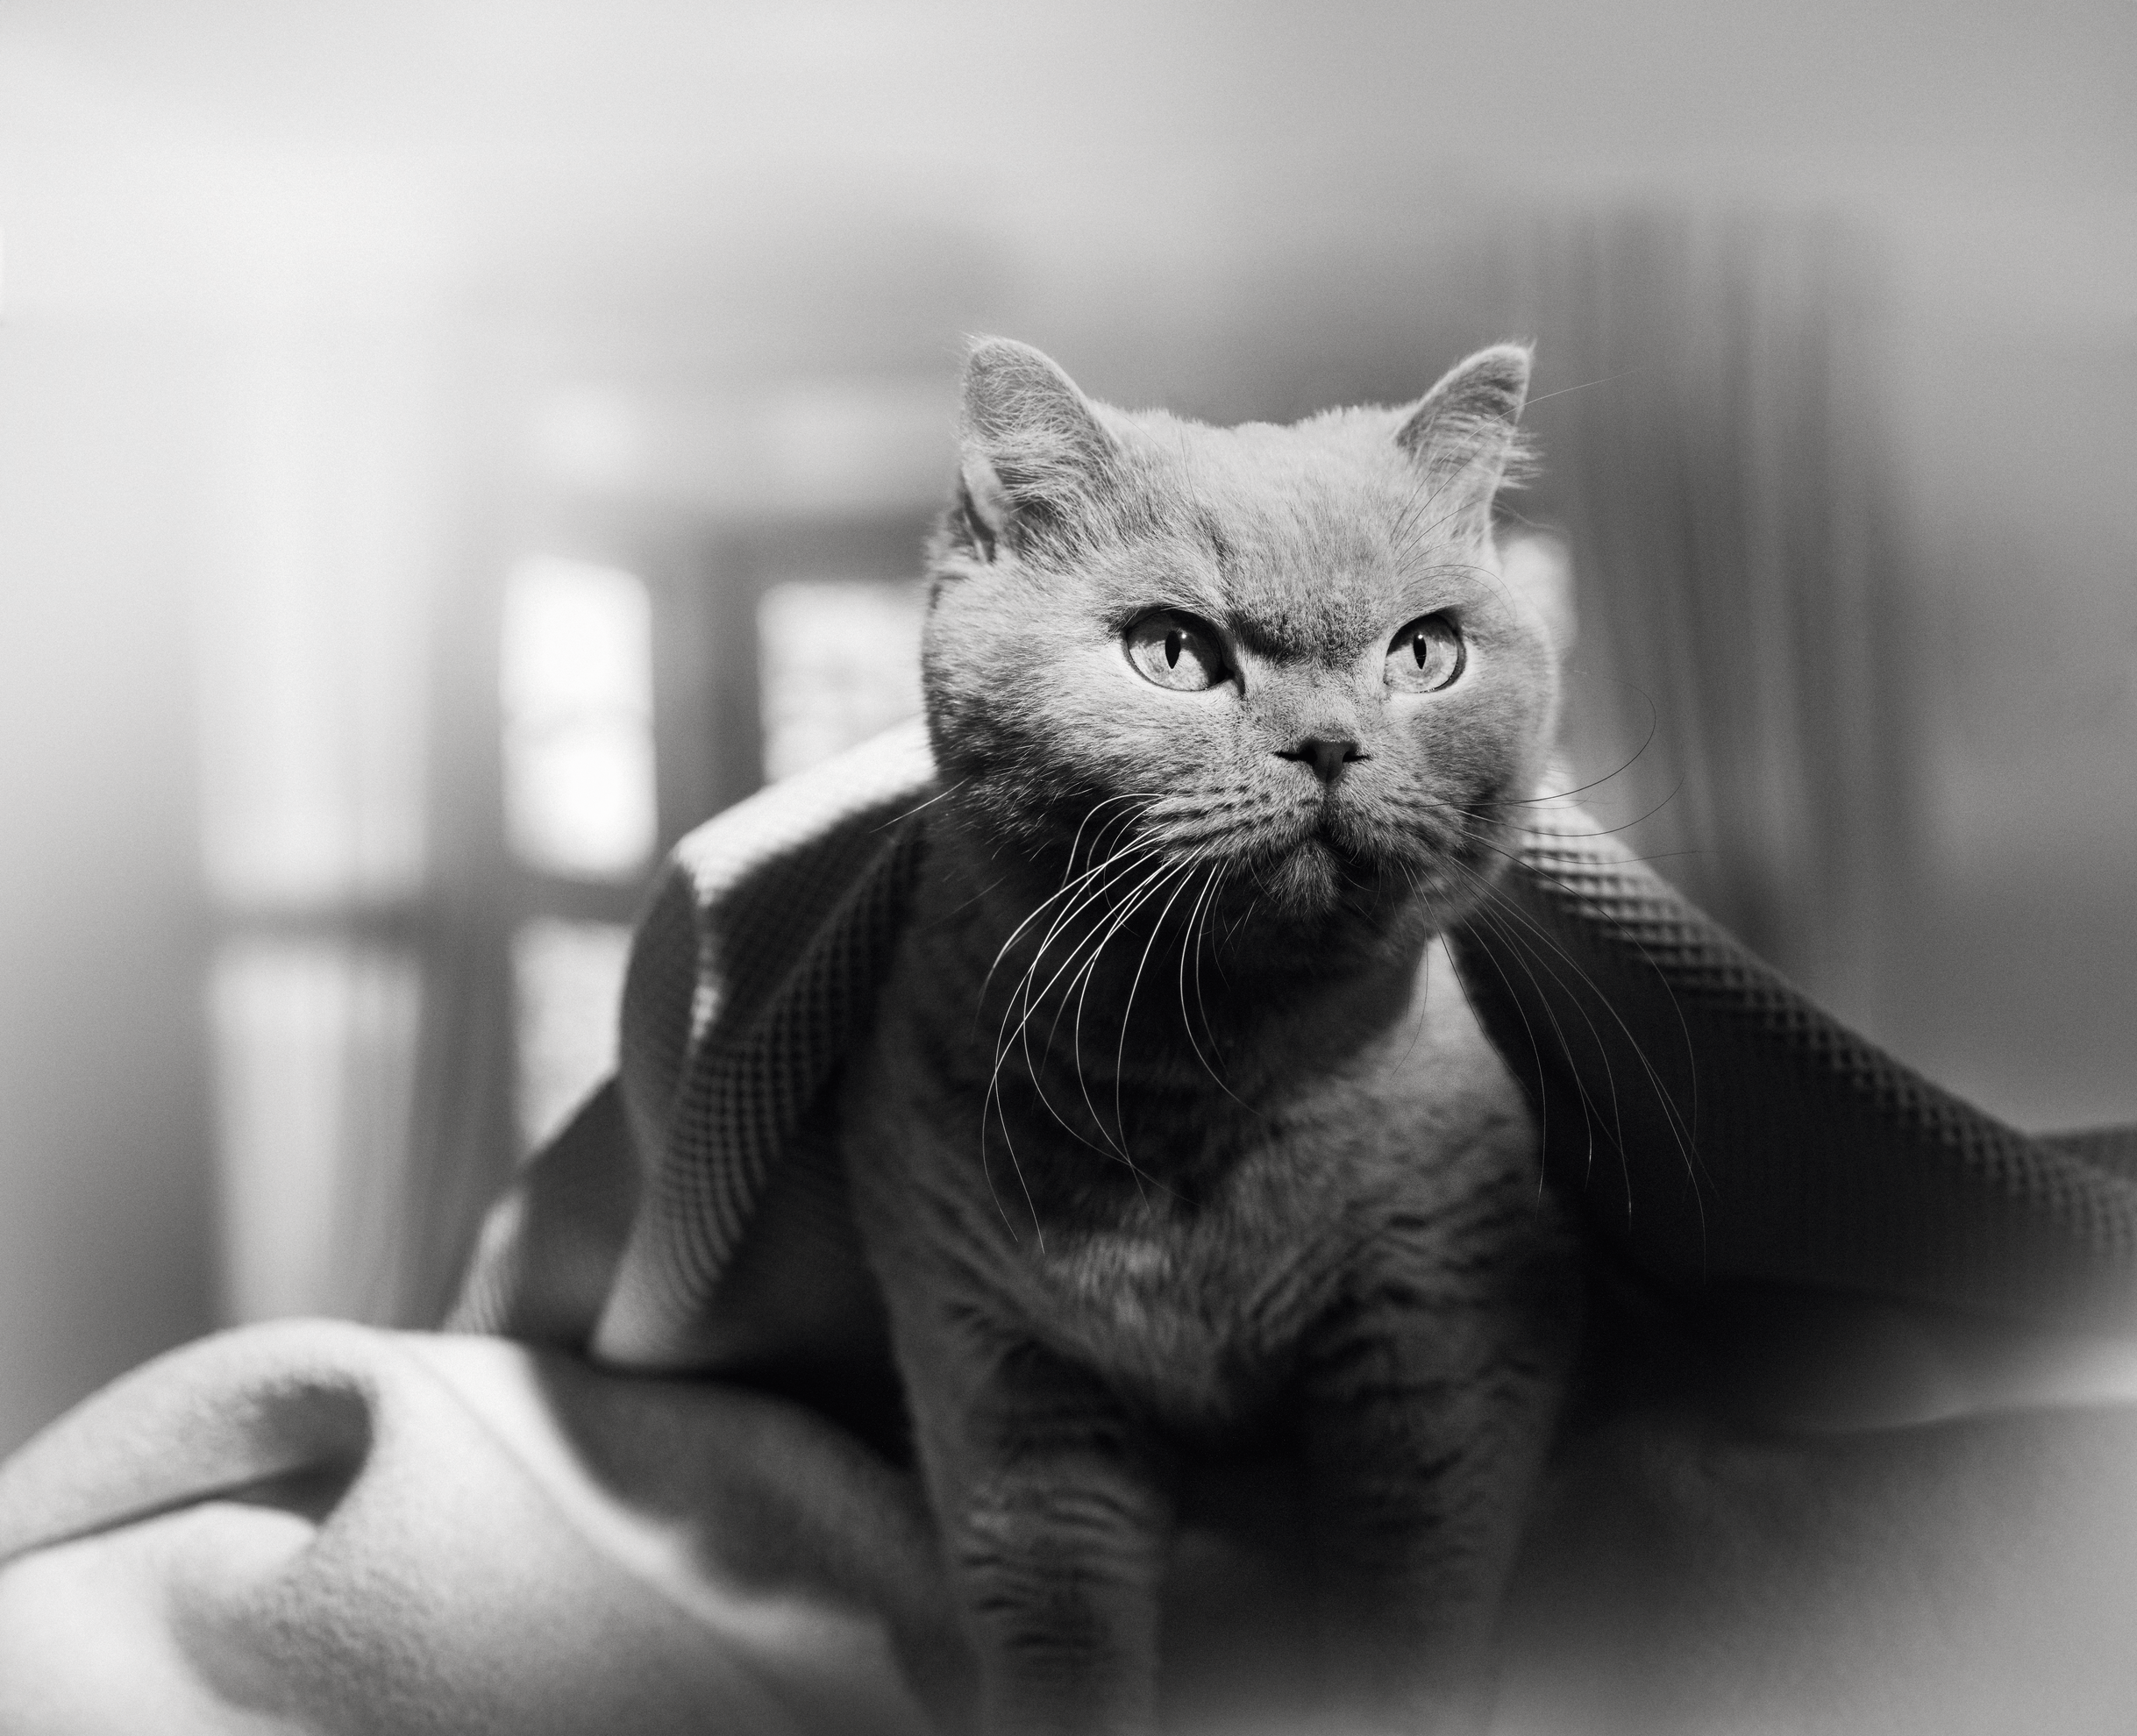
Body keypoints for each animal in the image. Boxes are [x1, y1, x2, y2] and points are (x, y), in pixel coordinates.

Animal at [842, 339, 1581, 1736]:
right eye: (1173, 653)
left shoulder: (1437, 1343)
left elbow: (1412, 1622)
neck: (1196, 1079)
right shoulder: (1008, 1389)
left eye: (1425, 654)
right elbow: (1062, 1648)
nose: (1330, 743)